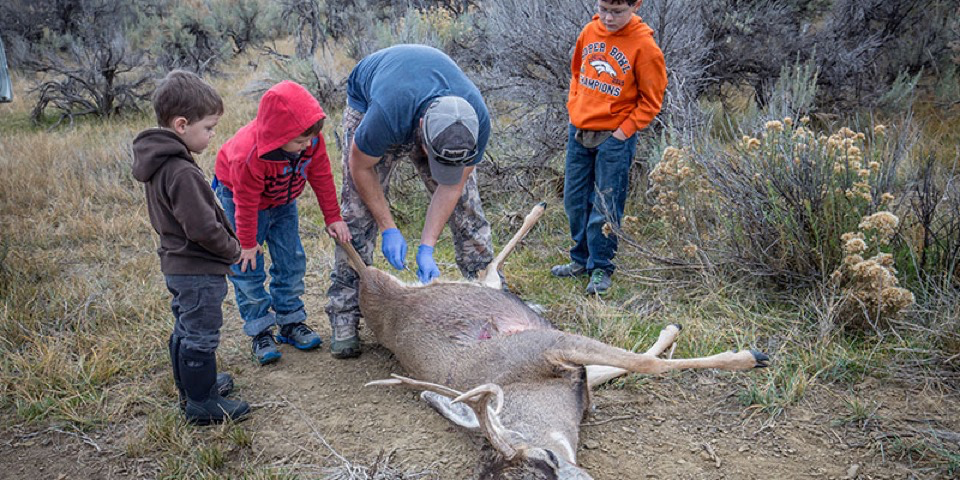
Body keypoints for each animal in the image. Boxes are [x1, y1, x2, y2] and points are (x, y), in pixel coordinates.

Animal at [334, 203, 768, 480]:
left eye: (547, 458)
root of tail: (375, 291)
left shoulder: (551, 345)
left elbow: (641, 362)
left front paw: (746, 355)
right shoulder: (565, 360)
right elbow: (637, 363)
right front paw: (746, 354)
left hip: (408, 282)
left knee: (479, 268)